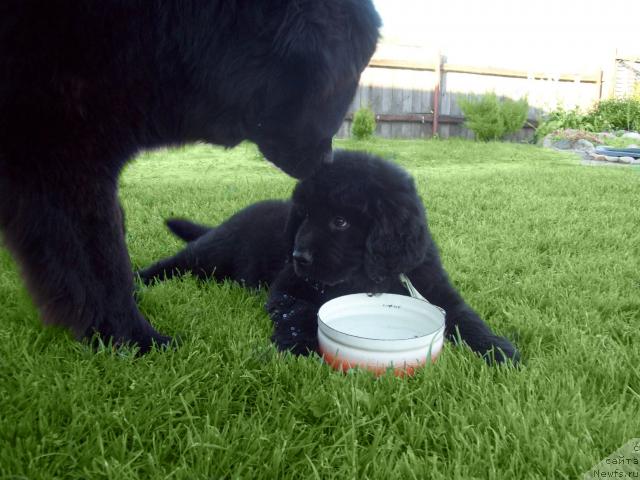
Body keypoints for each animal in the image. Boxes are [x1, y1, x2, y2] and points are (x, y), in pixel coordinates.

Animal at [140, 151, 520, 364]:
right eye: (305, 215)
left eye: (340, 221)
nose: (299, 256)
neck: (365, 274)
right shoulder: (288, 287)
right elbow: (303, 311)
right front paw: (299, 345)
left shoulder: (433, 288)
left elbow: (466, 318)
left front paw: (499, 350)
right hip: (212, 252)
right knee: (174, 262)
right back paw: (139, 282)